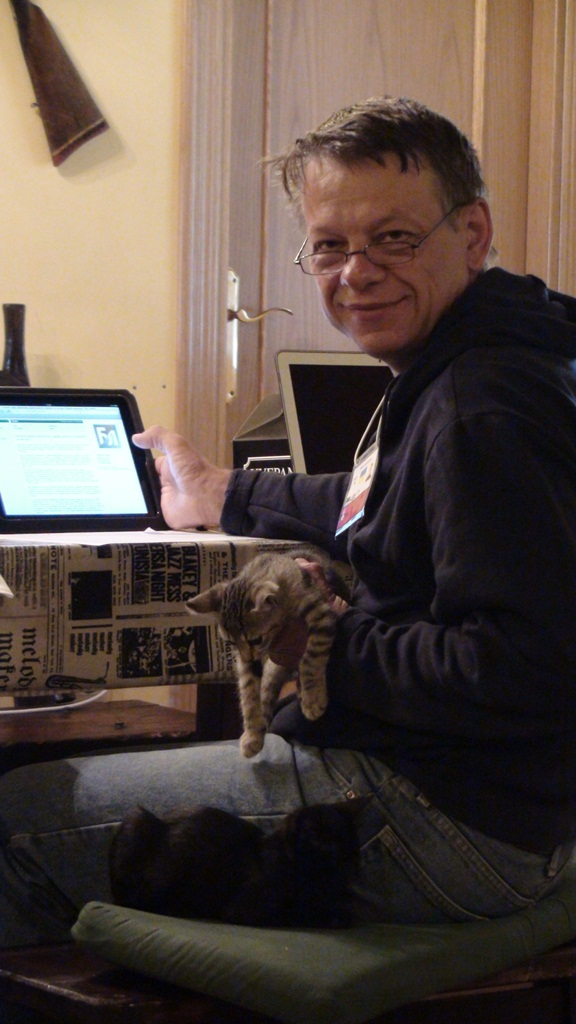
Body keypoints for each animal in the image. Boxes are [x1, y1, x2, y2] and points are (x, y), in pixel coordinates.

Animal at [109, 800, 363, 929]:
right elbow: (299, 912)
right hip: (136, 820)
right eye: (315, 834)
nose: (334, 850)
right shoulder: (249, 909)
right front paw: (334, 915)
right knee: (132, 900)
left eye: (343, 836)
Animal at [186, 546, 350, 757]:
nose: (251, 660)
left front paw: (313, 698)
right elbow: (248, 693)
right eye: (230, 642)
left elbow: (311, 658)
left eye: (256, 640)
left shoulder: (320, 612)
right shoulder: (245, 662)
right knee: (266, 690)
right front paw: (252, 733)